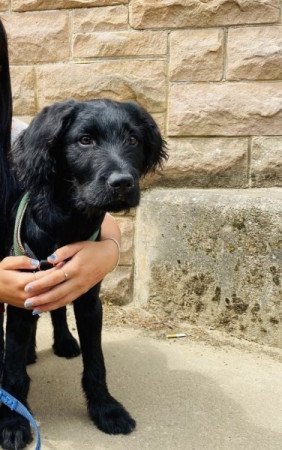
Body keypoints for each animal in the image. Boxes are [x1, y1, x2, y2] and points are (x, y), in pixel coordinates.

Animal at [0, 99, 166, 450]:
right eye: (85, 140)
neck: (70, 220)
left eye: (133, 140)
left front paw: (106, 409)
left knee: (57, 310)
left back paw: (62, 342)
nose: (123, 182)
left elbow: (96, 363)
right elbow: (13, 372)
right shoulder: (21, 292)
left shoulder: (89, 298)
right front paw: (13, 420)